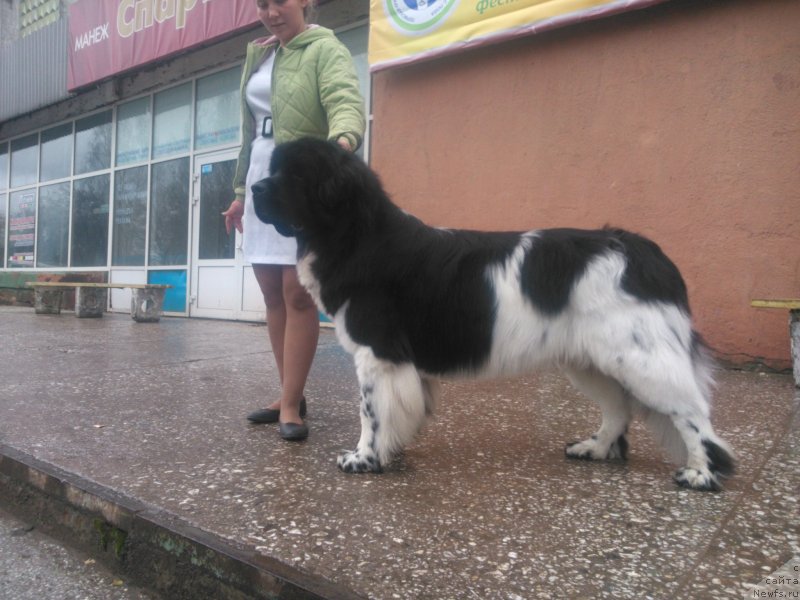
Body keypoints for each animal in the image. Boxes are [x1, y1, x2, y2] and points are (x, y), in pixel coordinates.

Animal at [253, 138, 736, 490]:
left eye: (294, 175)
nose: (254, 188)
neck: (356, 234)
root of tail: (642, 250)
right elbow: (400, 410)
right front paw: (393, 449)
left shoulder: (378, 353)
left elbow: (370, 411)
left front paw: (364, 459)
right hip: (591, 359)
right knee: (619, 408)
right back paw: (594, 449)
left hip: (639, 356)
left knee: (691, 411)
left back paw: (700, 473)